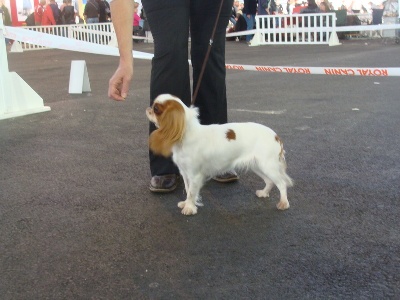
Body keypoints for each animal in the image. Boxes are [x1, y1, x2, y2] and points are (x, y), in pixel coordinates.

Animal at [145, 94, 292, 216]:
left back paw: (283, 203)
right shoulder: (185, 172)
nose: (148, 109)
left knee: (281, 183)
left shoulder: (195, 175)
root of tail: (276, 136)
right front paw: (186, 203)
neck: (185, 134)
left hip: (268, 166)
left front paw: (189, 208)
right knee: (270, 181)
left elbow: (192, 192)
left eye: (156, 109)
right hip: (258, 166)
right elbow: (187, 190)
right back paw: (263, 193)